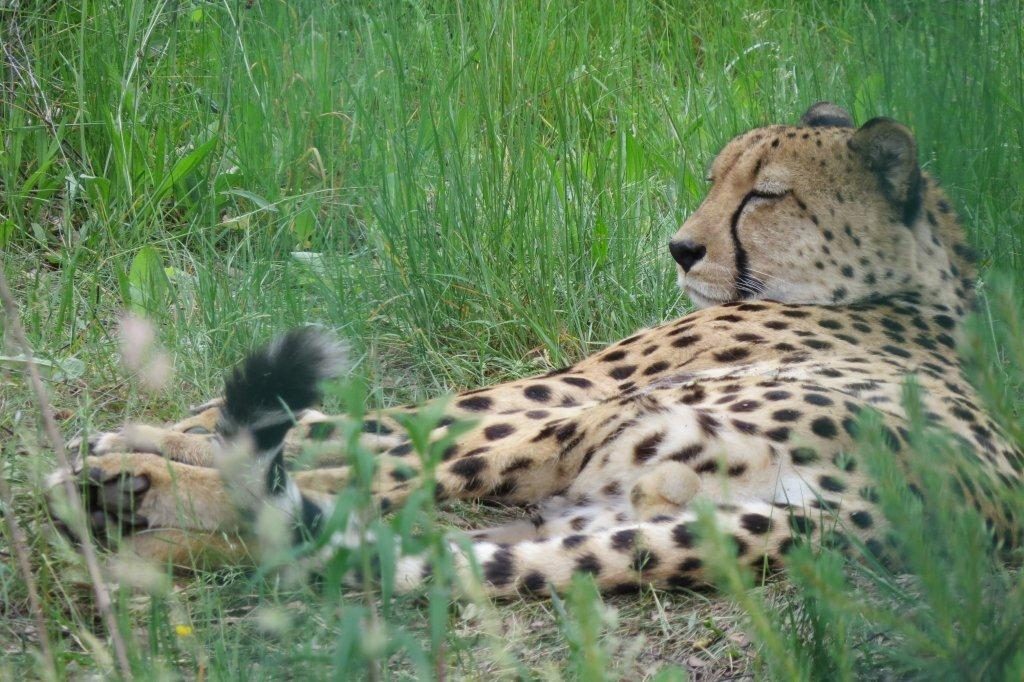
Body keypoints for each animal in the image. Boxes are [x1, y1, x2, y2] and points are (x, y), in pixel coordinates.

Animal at [48, 103, 1024, 597]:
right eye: (716, 179)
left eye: (768, 195)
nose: (681, 248)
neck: (910, 283)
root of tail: (951, 514)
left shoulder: (559, 388)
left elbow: (370, 419)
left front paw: (148, 433)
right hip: (581, 512)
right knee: (352, 527)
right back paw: (139, 542)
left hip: (600, 427)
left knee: (363, 484)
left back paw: (118, 489)